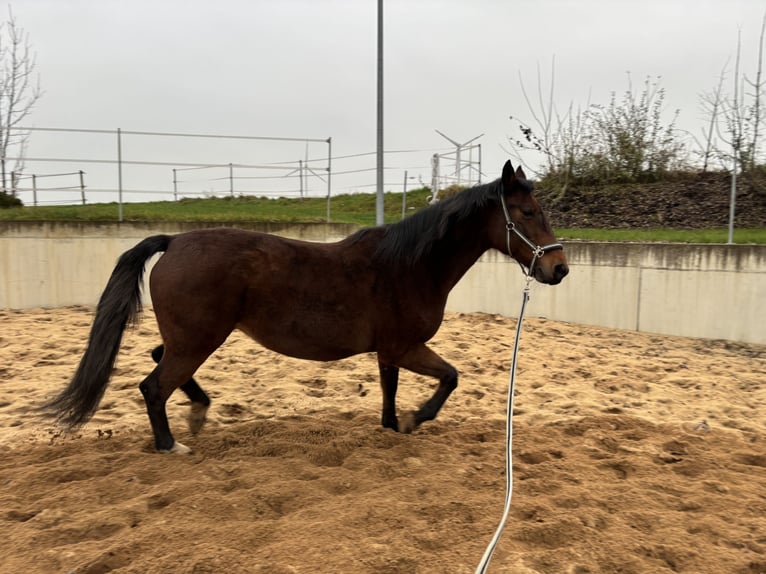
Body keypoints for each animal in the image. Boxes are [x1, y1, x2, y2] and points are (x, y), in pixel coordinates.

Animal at [42, 161, 568, 454]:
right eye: (527, 213)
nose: (559, 268)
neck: (410, 265)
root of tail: (174, 241)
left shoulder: (389, 352)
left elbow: (390, 393)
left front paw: (393, 425)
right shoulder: (405, 346)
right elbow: (451, 378)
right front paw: (415, 420)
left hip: (190, 338)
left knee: (158, 363)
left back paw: (198, 413)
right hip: (198, 339)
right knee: (153, 386)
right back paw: (172, 445)